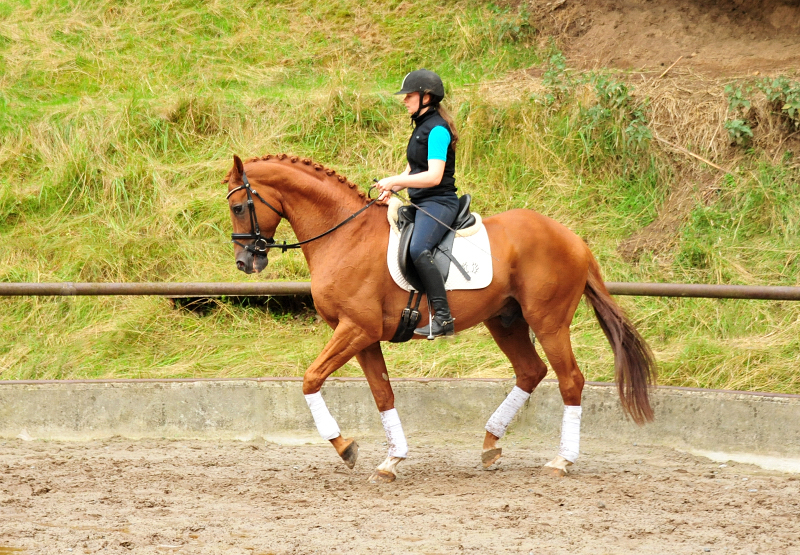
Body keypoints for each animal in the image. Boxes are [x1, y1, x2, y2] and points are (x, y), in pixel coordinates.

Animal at [223, 154, 656, 484]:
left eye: (239, 206)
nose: (245, 263)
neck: (344, 235)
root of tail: (573, 238)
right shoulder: (364, 337)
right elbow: (382, 394)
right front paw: (391, 461)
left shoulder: (356, 329)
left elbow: (311, 379)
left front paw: (345, 448)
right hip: (506, 320)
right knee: (531, 371)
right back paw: (490, 444)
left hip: (548, 322)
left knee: (570, 380)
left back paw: (561, 460)